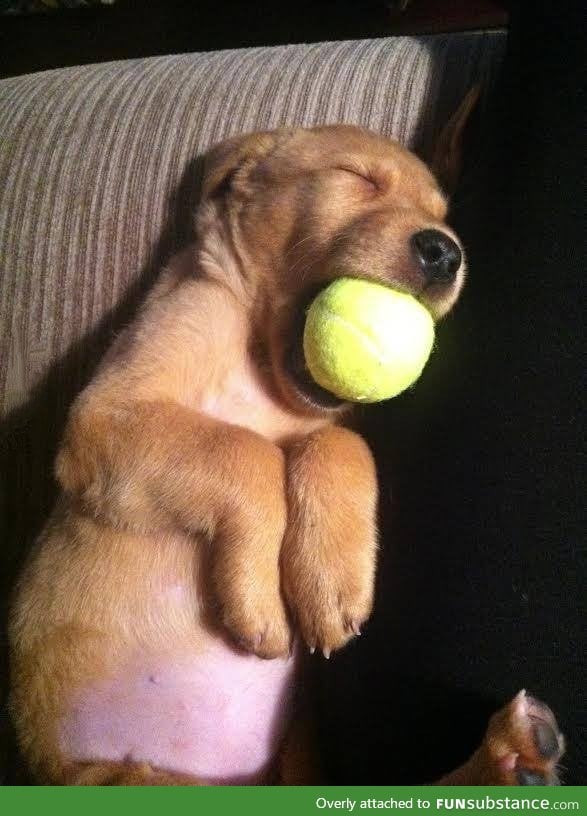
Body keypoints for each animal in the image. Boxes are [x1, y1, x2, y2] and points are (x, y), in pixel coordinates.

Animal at [6, 111, 564, 780]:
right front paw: (261, 602)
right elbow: (248, 453)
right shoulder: (107, 413)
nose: (446, 252)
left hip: (297, 758)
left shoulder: (329, 425)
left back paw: (513, 759)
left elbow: (335, 441)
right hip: (115, 774)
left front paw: (332, 579)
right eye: (357, 177)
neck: (263, 374)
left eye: (442, 216)